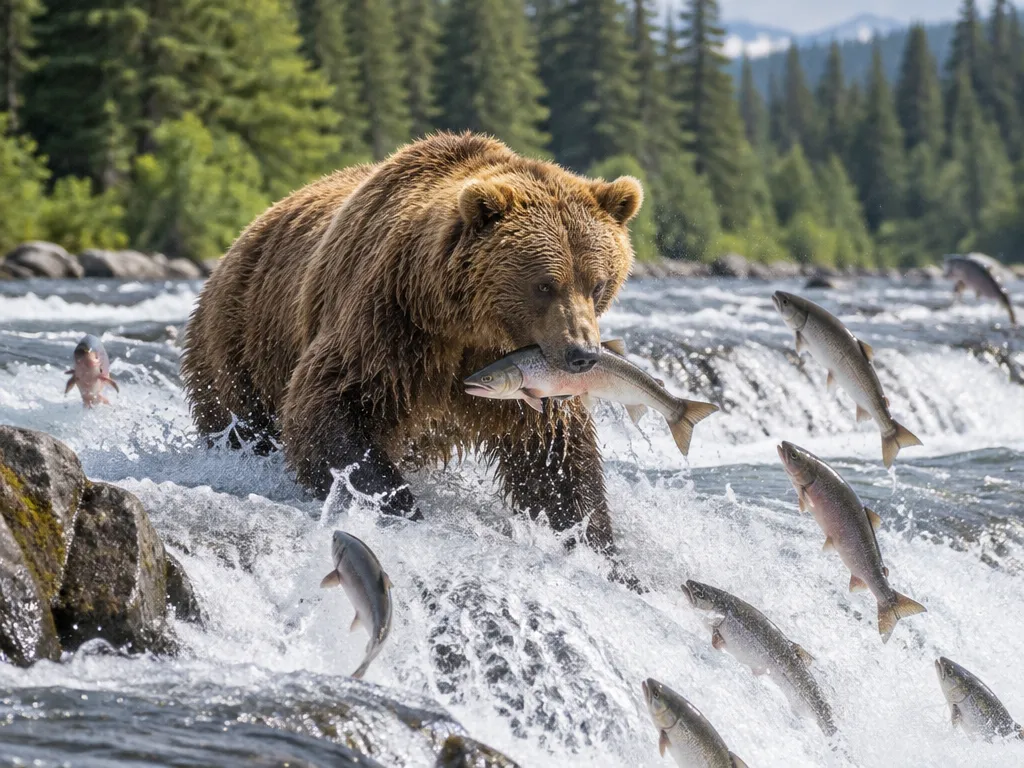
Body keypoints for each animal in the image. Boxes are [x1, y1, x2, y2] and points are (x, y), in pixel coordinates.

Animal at [180, 132, 642, 555]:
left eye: (598, 283)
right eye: (545, 284)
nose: (582, 354)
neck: (463, 322)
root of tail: (239, 240)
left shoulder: (522, 370)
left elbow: (553, 458)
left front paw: (598, 546)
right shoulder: (390, 324)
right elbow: (330, 410)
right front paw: (400, 507)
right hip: (240, 340)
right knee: (238, 418)